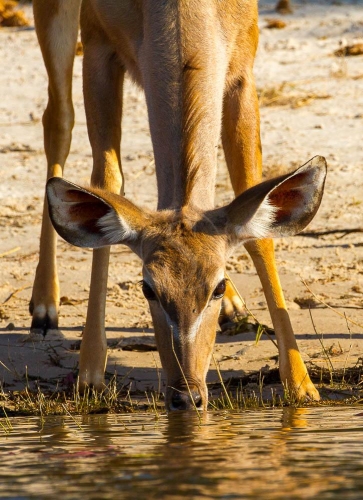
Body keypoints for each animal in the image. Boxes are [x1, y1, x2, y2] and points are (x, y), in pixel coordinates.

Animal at [31, 0, 328, 410]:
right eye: (147, 289)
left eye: (217, 286)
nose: (187, 395)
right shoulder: (98, 45)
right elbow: (106, 182)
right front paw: (89, 375)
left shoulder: (242, 67)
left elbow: (252, 204)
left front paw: (301, 384)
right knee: (58, 119)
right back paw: (44, 308)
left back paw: (237, 309)